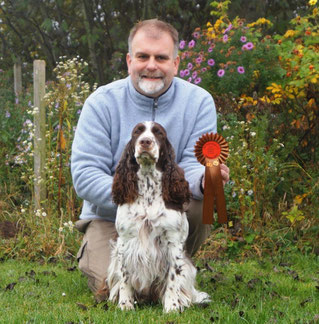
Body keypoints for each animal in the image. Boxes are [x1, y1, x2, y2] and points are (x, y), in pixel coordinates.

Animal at [107, 121, 211, 312]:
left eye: (159, 133)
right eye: (137, 132)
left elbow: (172, 279)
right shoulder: (125, 242)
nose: (145, 142)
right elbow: (125, 277)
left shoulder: (173, 243)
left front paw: (171, 307)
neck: (148, 188)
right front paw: (125, 305)